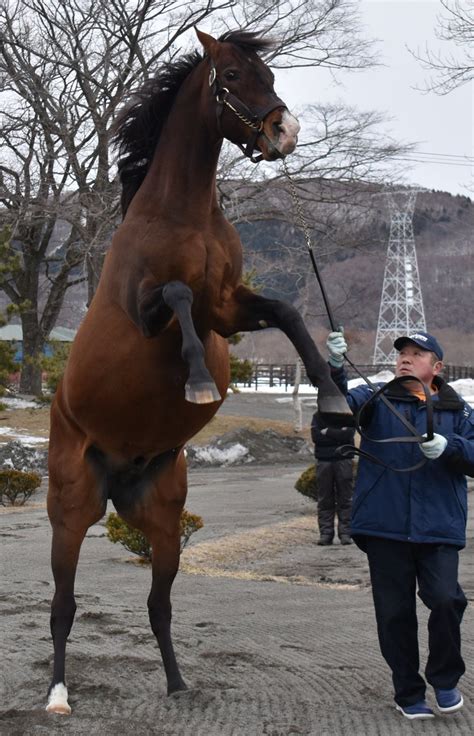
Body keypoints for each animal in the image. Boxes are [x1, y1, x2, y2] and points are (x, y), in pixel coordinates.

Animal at [46, 27, 350, 712]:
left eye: (270, 72)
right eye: (232, 76)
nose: (285, 131)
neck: (181, 213)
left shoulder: (229, 307)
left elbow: (289, 312)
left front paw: (332, 393)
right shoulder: (150, 308)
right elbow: (178, 295)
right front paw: (199, 381)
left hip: (162, 520)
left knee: (158, 605)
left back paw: (179, 684)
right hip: (70, 511)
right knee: (62, 607)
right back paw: (56, 696)